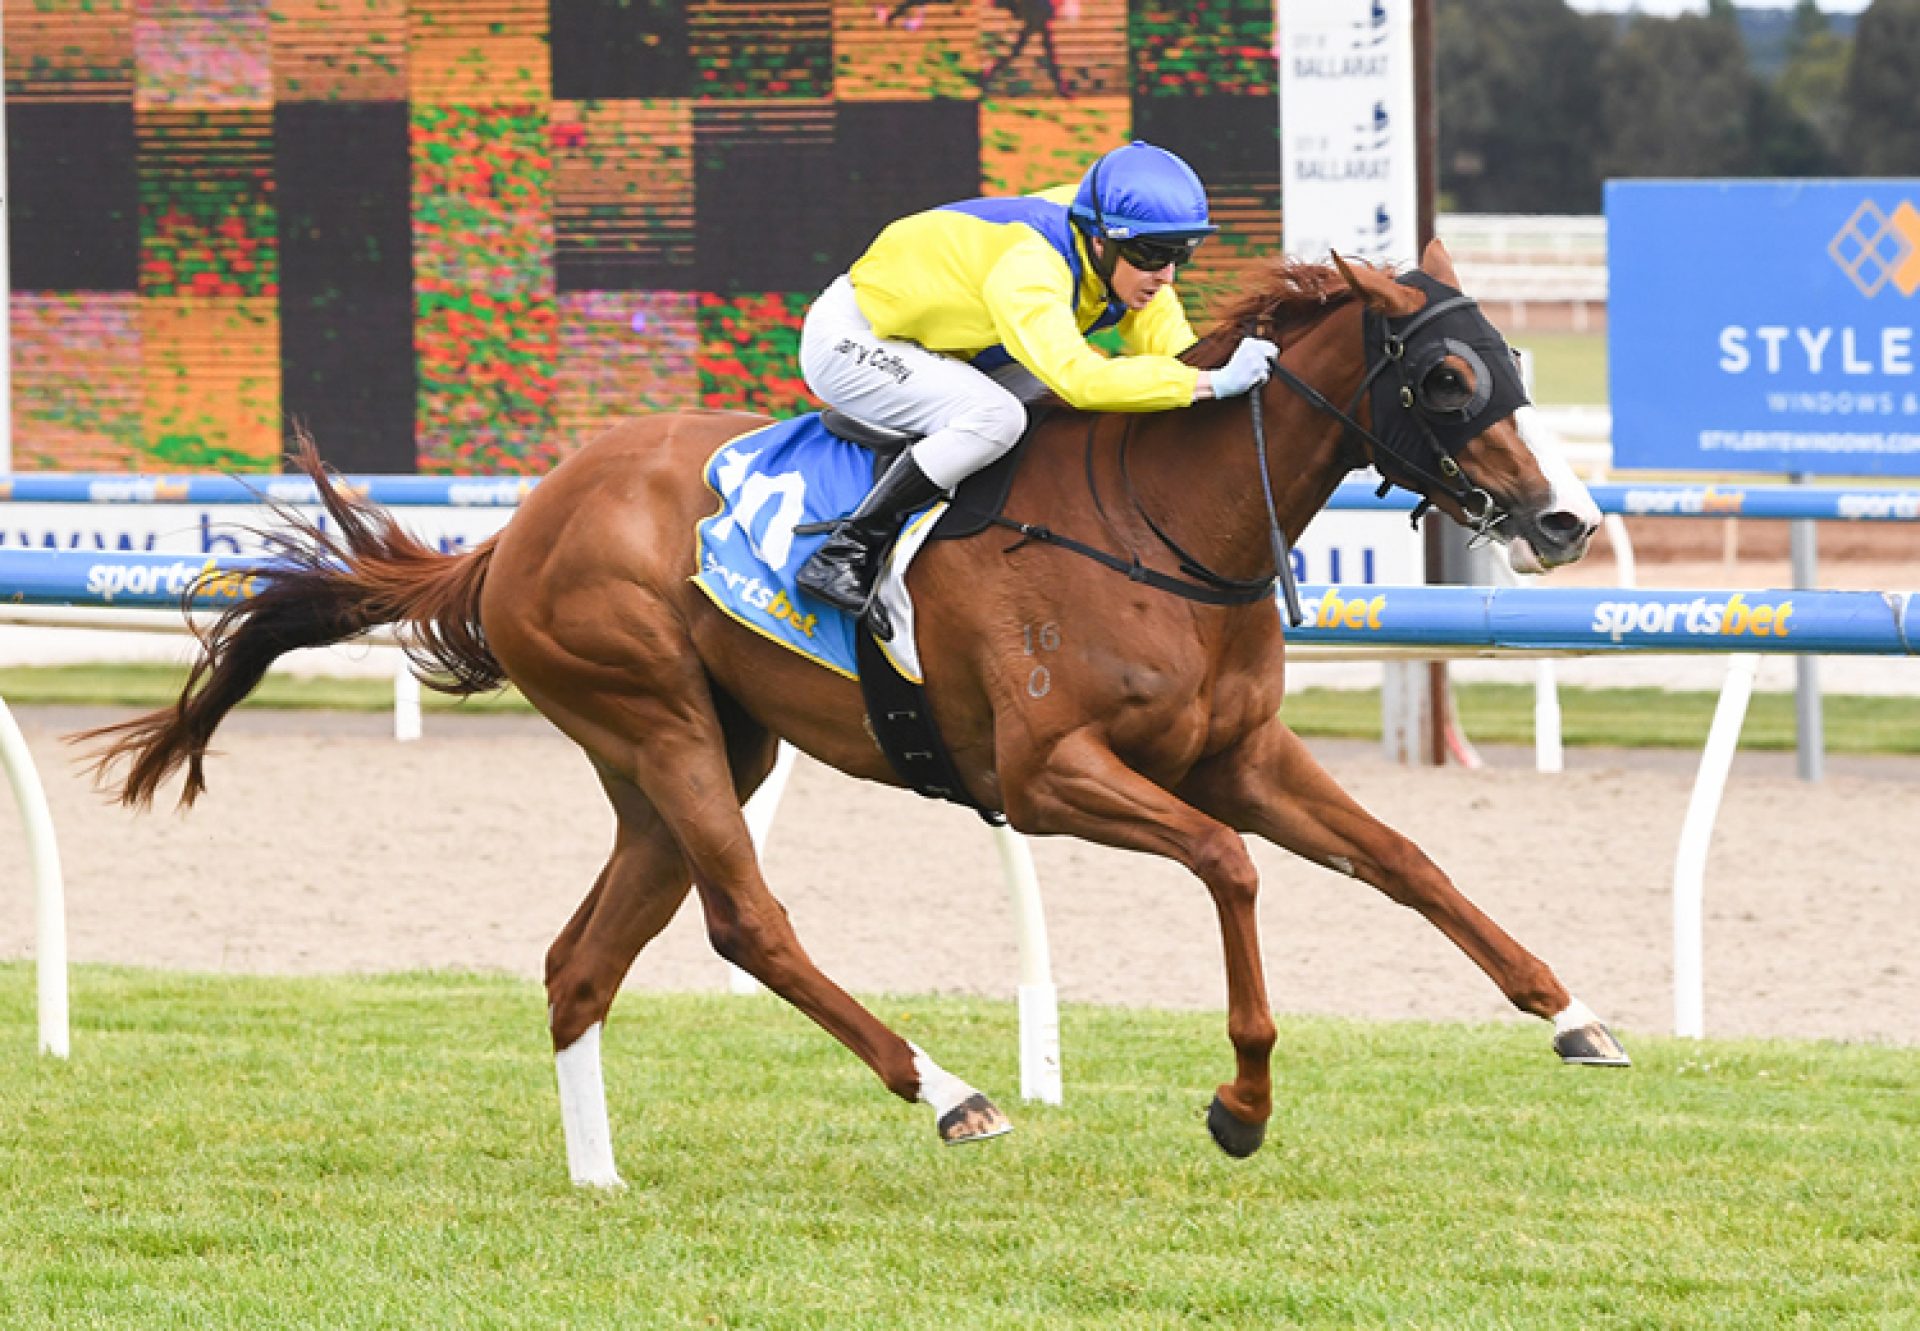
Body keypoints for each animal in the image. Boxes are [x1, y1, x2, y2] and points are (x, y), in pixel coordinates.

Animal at [82, 243, 1628, 1190]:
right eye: (1444, 375)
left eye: (1513, 362)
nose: (1566, 519)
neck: (1165, 521)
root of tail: (516, 528)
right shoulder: (1050, 773)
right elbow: (1233, 868)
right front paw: (1240, 1106)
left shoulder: (1239, 753)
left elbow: (1406, 859)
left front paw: (1576, 1014)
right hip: (657, 718)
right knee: (747, 921)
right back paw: (947, 1086)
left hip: (688, 750)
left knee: (584, 960)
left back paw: (600, 1173)